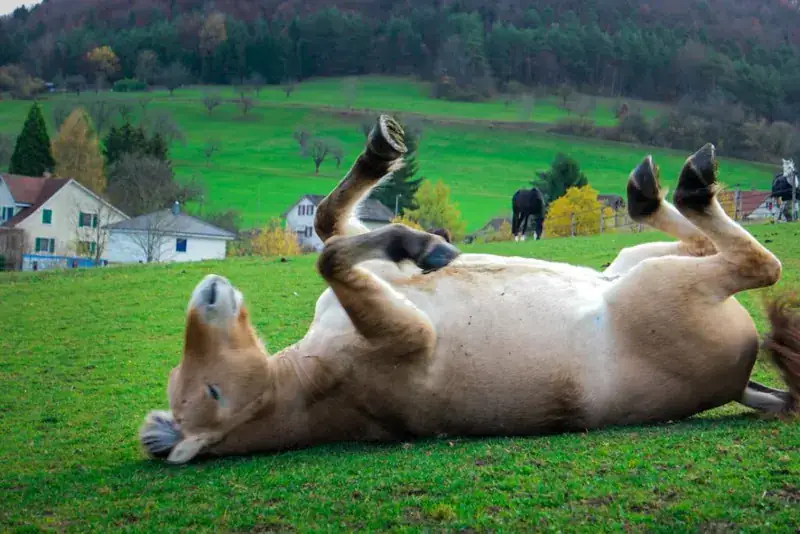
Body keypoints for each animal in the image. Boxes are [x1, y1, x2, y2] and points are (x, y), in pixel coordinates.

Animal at [140, 115, 799, 465]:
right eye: (211, 391)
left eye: (196, 382)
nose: (210, 292)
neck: (309, 380)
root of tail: (740, 381)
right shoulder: (409, 332)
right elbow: (328, 251)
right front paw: (427, 244)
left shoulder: (383, 285)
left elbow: (328, 225)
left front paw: (390, 175)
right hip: (662, 285)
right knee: (756, 264)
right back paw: (683, 184)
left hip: (633, 262)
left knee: (701, 242)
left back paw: (648, 190)